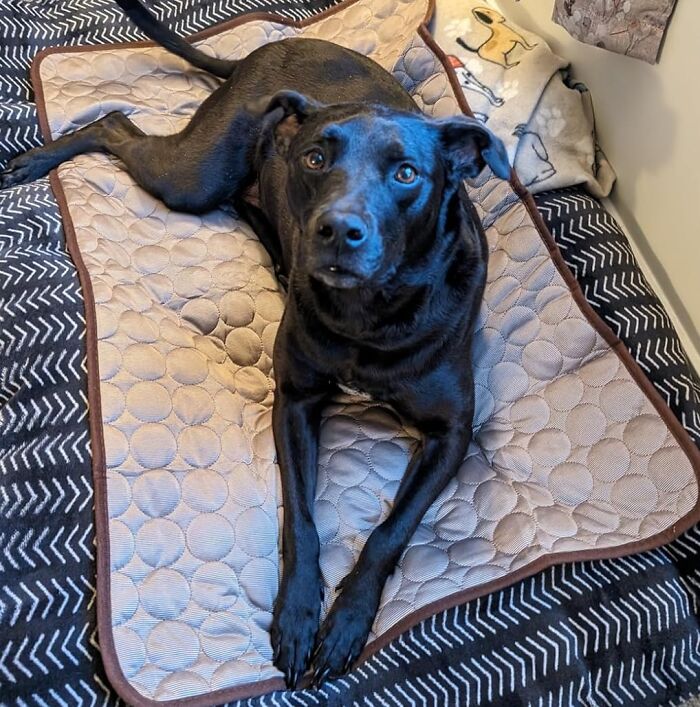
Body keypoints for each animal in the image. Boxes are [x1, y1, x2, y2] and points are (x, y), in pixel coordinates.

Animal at [2, 0, 512, 688]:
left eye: (407, 173)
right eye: (317, 160)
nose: (337, 230)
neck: (368, 317)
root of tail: (263, 52)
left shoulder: (452, 433)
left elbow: (390, 532)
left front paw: (347, 621)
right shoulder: (294, 402)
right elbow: (302, 518)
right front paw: (299, 615)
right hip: (195, 176)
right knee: (114, 124)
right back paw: (39, 161)